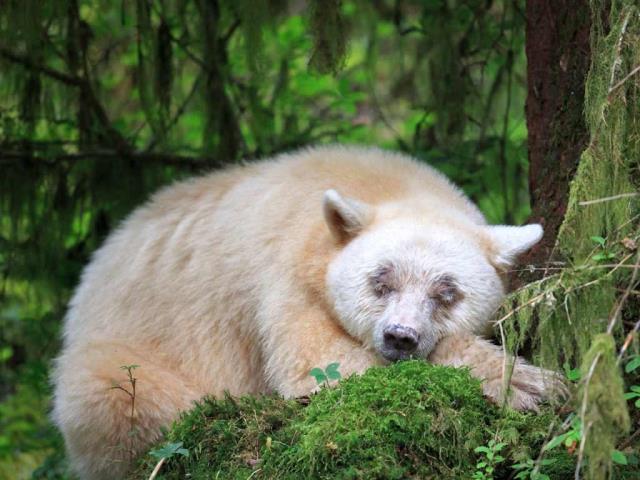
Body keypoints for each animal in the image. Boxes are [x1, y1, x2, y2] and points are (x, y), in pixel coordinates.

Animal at [52, 145, 562, 479]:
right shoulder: (285, 273)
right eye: (381, 281)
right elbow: (320, 366)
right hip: (127, 348)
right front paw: (522, 383)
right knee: (112, 391)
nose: (400, 336)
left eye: (446, 292)